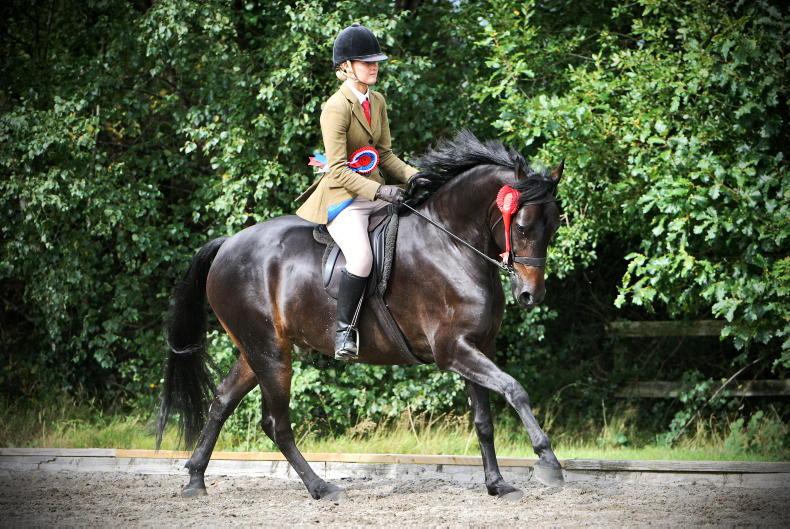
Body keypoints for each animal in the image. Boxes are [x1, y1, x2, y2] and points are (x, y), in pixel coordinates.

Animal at [156, 129, 564, 501]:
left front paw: (497, 484)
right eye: (522, 226)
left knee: (222, 401)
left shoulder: (479, 346)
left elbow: (484, 420)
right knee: (276, 423)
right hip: (270, 353)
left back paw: (195, 480)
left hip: (255, 349)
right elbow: (515, 389)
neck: (451, 243)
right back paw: (321, 487)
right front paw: (548, 460)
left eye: (555, 224)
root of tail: (228, 244)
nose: (530, 294)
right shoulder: (453, 350)